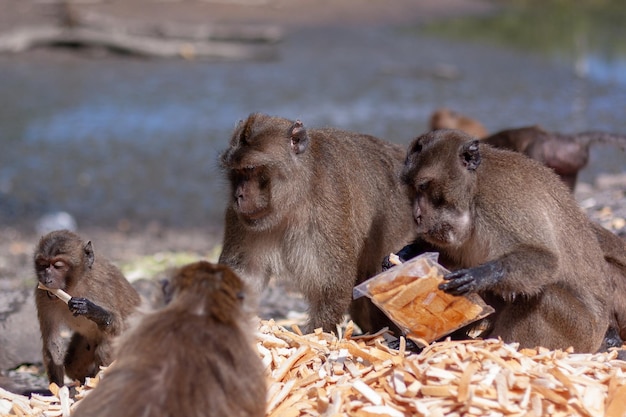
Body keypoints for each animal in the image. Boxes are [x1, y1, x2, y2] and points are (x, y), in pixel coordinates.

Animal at [33, 229, 139, 386]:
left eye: (58, 266)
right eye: (43, 264)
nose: (46, 279)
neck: (75, 285)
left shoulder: (99, 287)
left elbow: (117, 325)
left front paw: (90, 309)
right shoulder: (42, 295)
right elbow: (52, 344)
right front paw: (56, 389)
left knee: (105, 348)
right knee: (72, 364)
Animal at [217, 112, 416, 334]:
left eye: (250, 169)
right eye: (236, 172)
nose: (238, 196)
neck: (294, 199)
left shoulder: (327, 203)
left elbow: (329, 285)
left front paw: (316, 333)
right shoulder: (240, 219)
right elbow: (245, 273)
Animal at [388, 130, 612, 352]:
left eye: (423, 186)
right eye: (413, 191)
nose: (417, 215)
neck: (474, 191)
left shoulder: (502, 200)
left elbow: (545, 258)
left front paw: (481, 275)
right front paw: (407, 254)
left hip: (580, 333)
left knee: (541, 296)